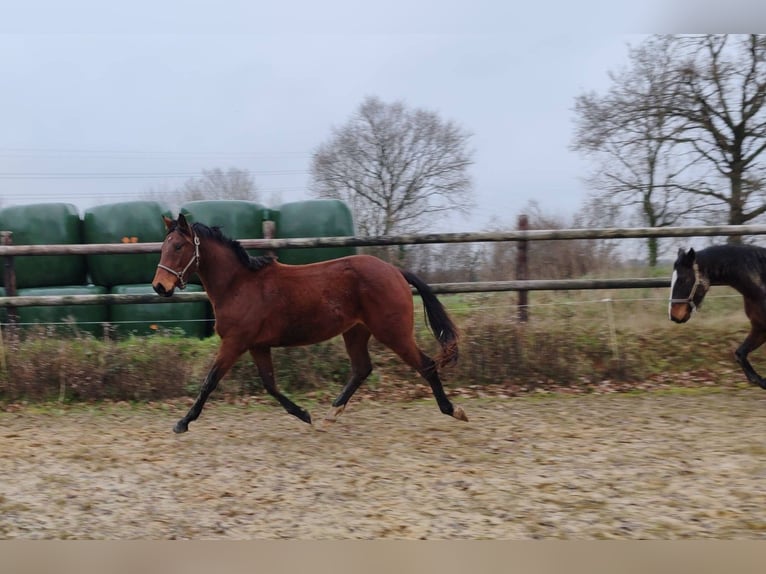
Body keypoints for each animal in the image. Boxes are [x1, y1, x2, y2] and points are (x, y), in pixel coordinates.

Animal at [151, 214, 468, 434]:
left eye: (177, 246)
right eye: (163, 247)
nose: (159, 286)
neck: (239, 285)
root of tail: (395, 271)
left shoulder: (234, 343)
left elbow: (209, 382)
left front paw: (182, 422)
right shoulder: (257, 346)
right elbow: (270, 385)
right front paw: (304, 414)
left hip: (393, 332)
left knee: (426, 365)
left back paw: (454, 410)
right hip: (356, 331)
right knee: (362, 369)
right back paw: (330, 415)